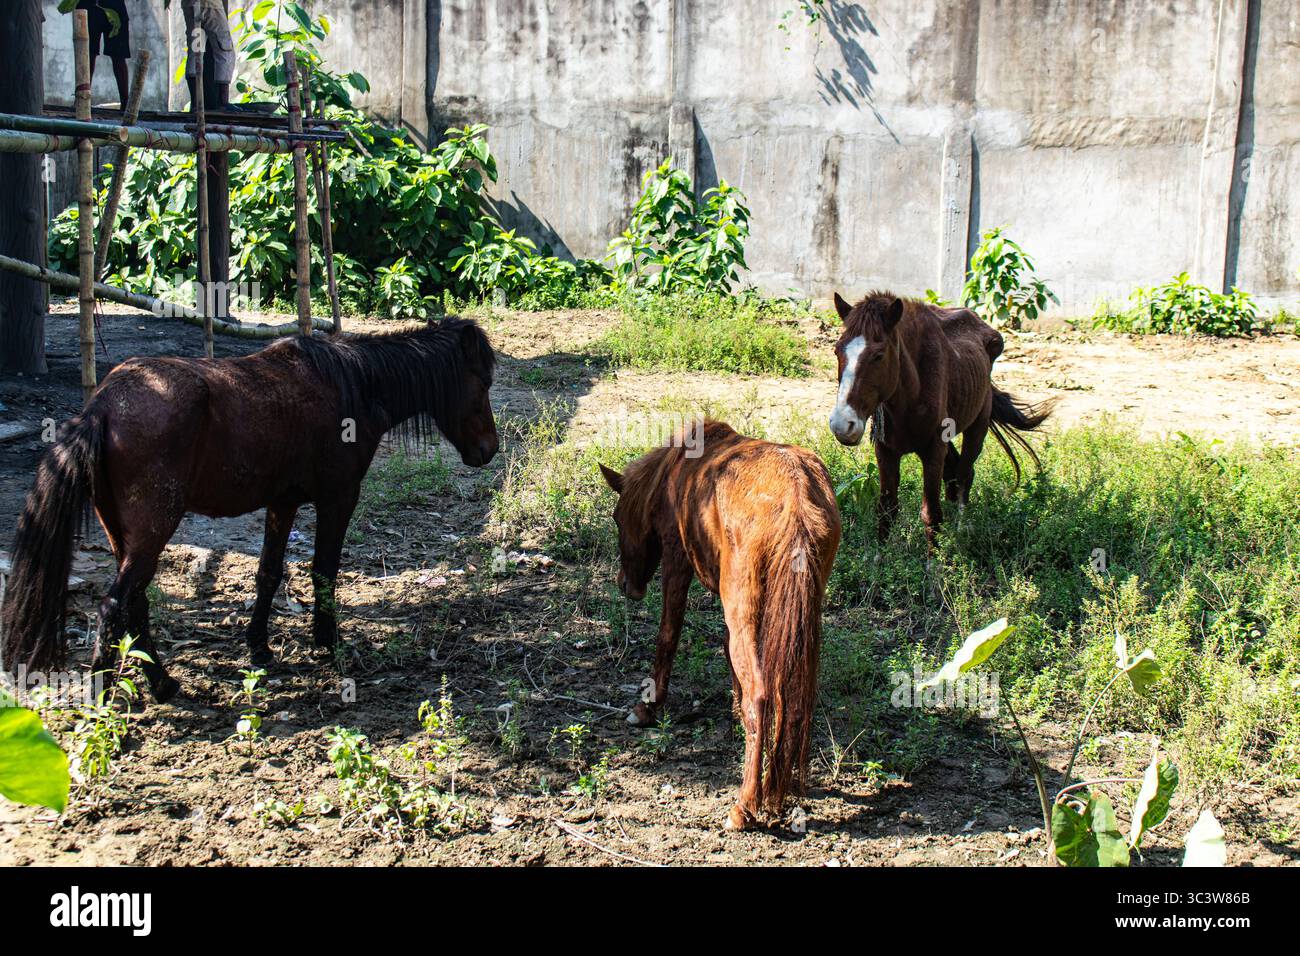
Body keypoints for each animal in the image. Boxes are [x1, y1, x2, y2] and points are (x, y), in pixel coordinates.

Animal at [0, 317, 498, 702]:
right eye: (483, 382)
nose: (489, 449)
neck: (355, 385)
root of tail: (101, 408)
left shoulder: (283, 503)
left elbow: (269, 573)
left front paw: (259, 647)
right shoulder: (339, 498)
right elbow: (323, 570)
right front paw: (328, 642)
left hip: (122, 533)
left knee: (136, 602)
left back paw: (162, 683)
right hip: (153, 530)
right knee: (113, 606)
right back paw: (106, 695)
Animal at [600, 420, 841, 830]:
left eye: (618, 518)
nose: (626, 586)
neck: (677, 469)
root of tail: (796, 499)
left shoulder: (677, 562)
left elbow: (668, 635)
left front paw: (649, 706)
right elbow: (730, 658)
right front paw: (734, 707)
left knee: (762, 693)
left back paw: (745, 805)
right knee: (787, 691)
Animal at [827, 292, 1052, 548]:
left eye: (878, 355)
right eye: (837, 351)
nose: (842, 425)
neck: (908, 395)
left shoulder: (933, 451)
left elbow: (931, 514)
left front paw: (935, 559)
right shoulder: (886, 451)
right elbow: (886, 510)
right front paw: (879, 556)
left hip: (977, 427)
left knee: (964, 474)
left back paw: (961, 529)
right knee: (954, 472)